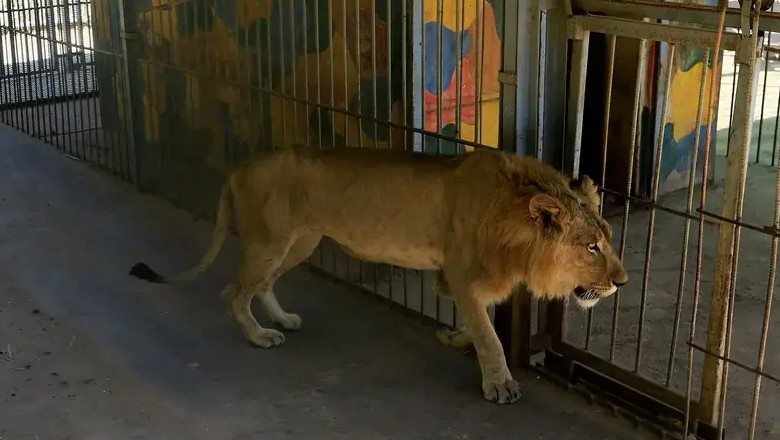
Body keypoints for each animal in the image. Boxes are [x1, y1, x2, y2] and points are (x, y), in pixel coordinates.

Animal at [129, 146, 628, 404]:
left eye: (608, 238)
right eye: (590, 247)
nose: (621, 283)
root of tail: (239, 167)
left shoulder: (459, 279)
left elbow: (475, 322)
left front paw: (453, 337)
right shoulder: (462, 274)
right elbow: (490, 336)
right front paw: (499, 383)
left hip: (299, 242)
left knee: (262, 285)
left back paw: (282, 319)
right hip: (268, 242)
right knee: (232, 292)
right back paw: (259, 336)